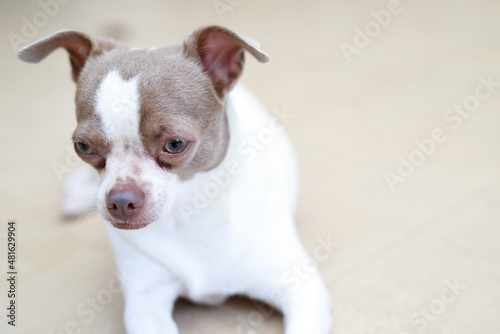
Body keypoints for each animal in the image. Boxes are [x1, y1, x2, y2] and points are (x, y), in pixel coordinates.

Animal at [18, 24, 332, 332]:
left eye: (176, 144)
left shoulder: (302, 289)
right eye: (83, 147)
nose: (120, 199)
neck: (190, 214)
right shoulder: (145, 302)